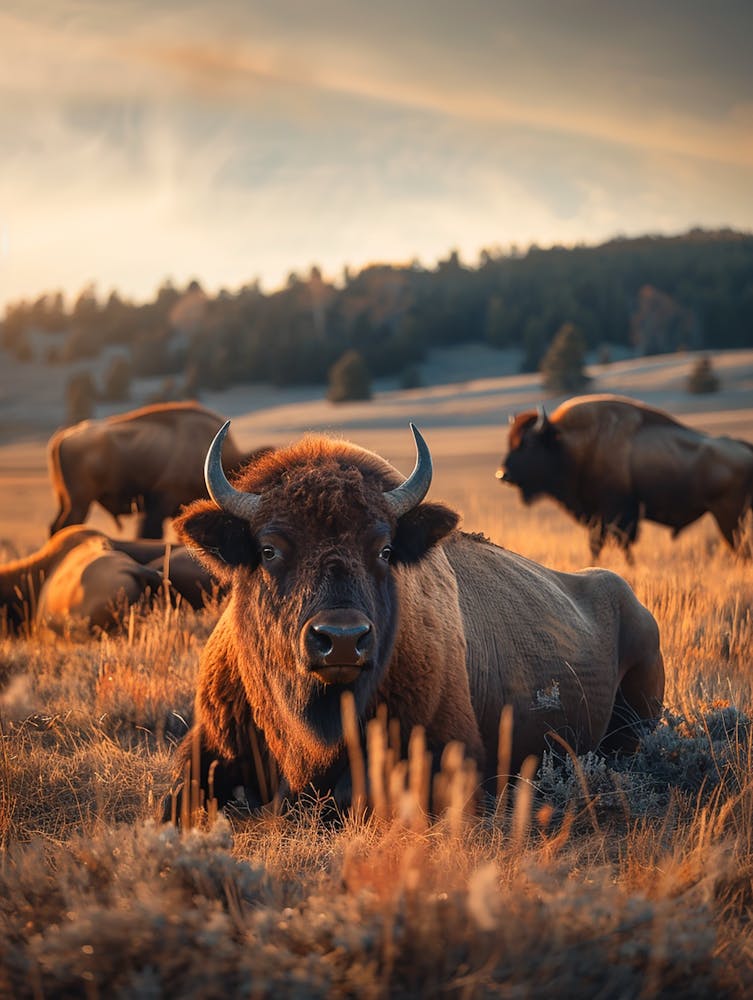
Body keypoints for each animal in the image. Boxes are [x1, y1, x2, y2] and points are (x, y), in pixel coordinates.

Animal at [497, 394, 753, 561]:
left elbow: (620, 545)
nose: (503, 475)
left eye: (529, 443)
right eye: (510, 442)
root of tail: (744, 447)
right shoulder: (598, 516)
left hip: (727, 515)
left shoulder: (617, 514)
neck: (575, 444)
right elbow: (597, 545)